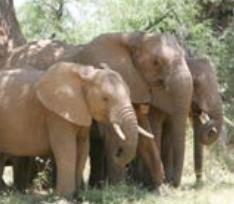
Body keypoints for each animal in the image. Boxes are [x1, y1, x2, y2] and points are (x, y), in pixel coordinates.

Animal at [0, 62, 148, 198]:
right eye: (105, 99)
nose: (118, 152)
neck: (86, 75)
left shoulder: (81, 111)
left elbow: (83, 148)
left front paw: (77, 195)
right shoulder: (57, 114)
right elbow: (68, 149)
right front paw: (63, 197)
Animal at [74, 31, 193, 186]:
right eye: (156, 62)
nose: (172, 183)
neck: (135, 37)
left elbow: (142, 130)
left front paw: (159, 187)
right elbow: (116, 133)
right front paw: (117, 188)